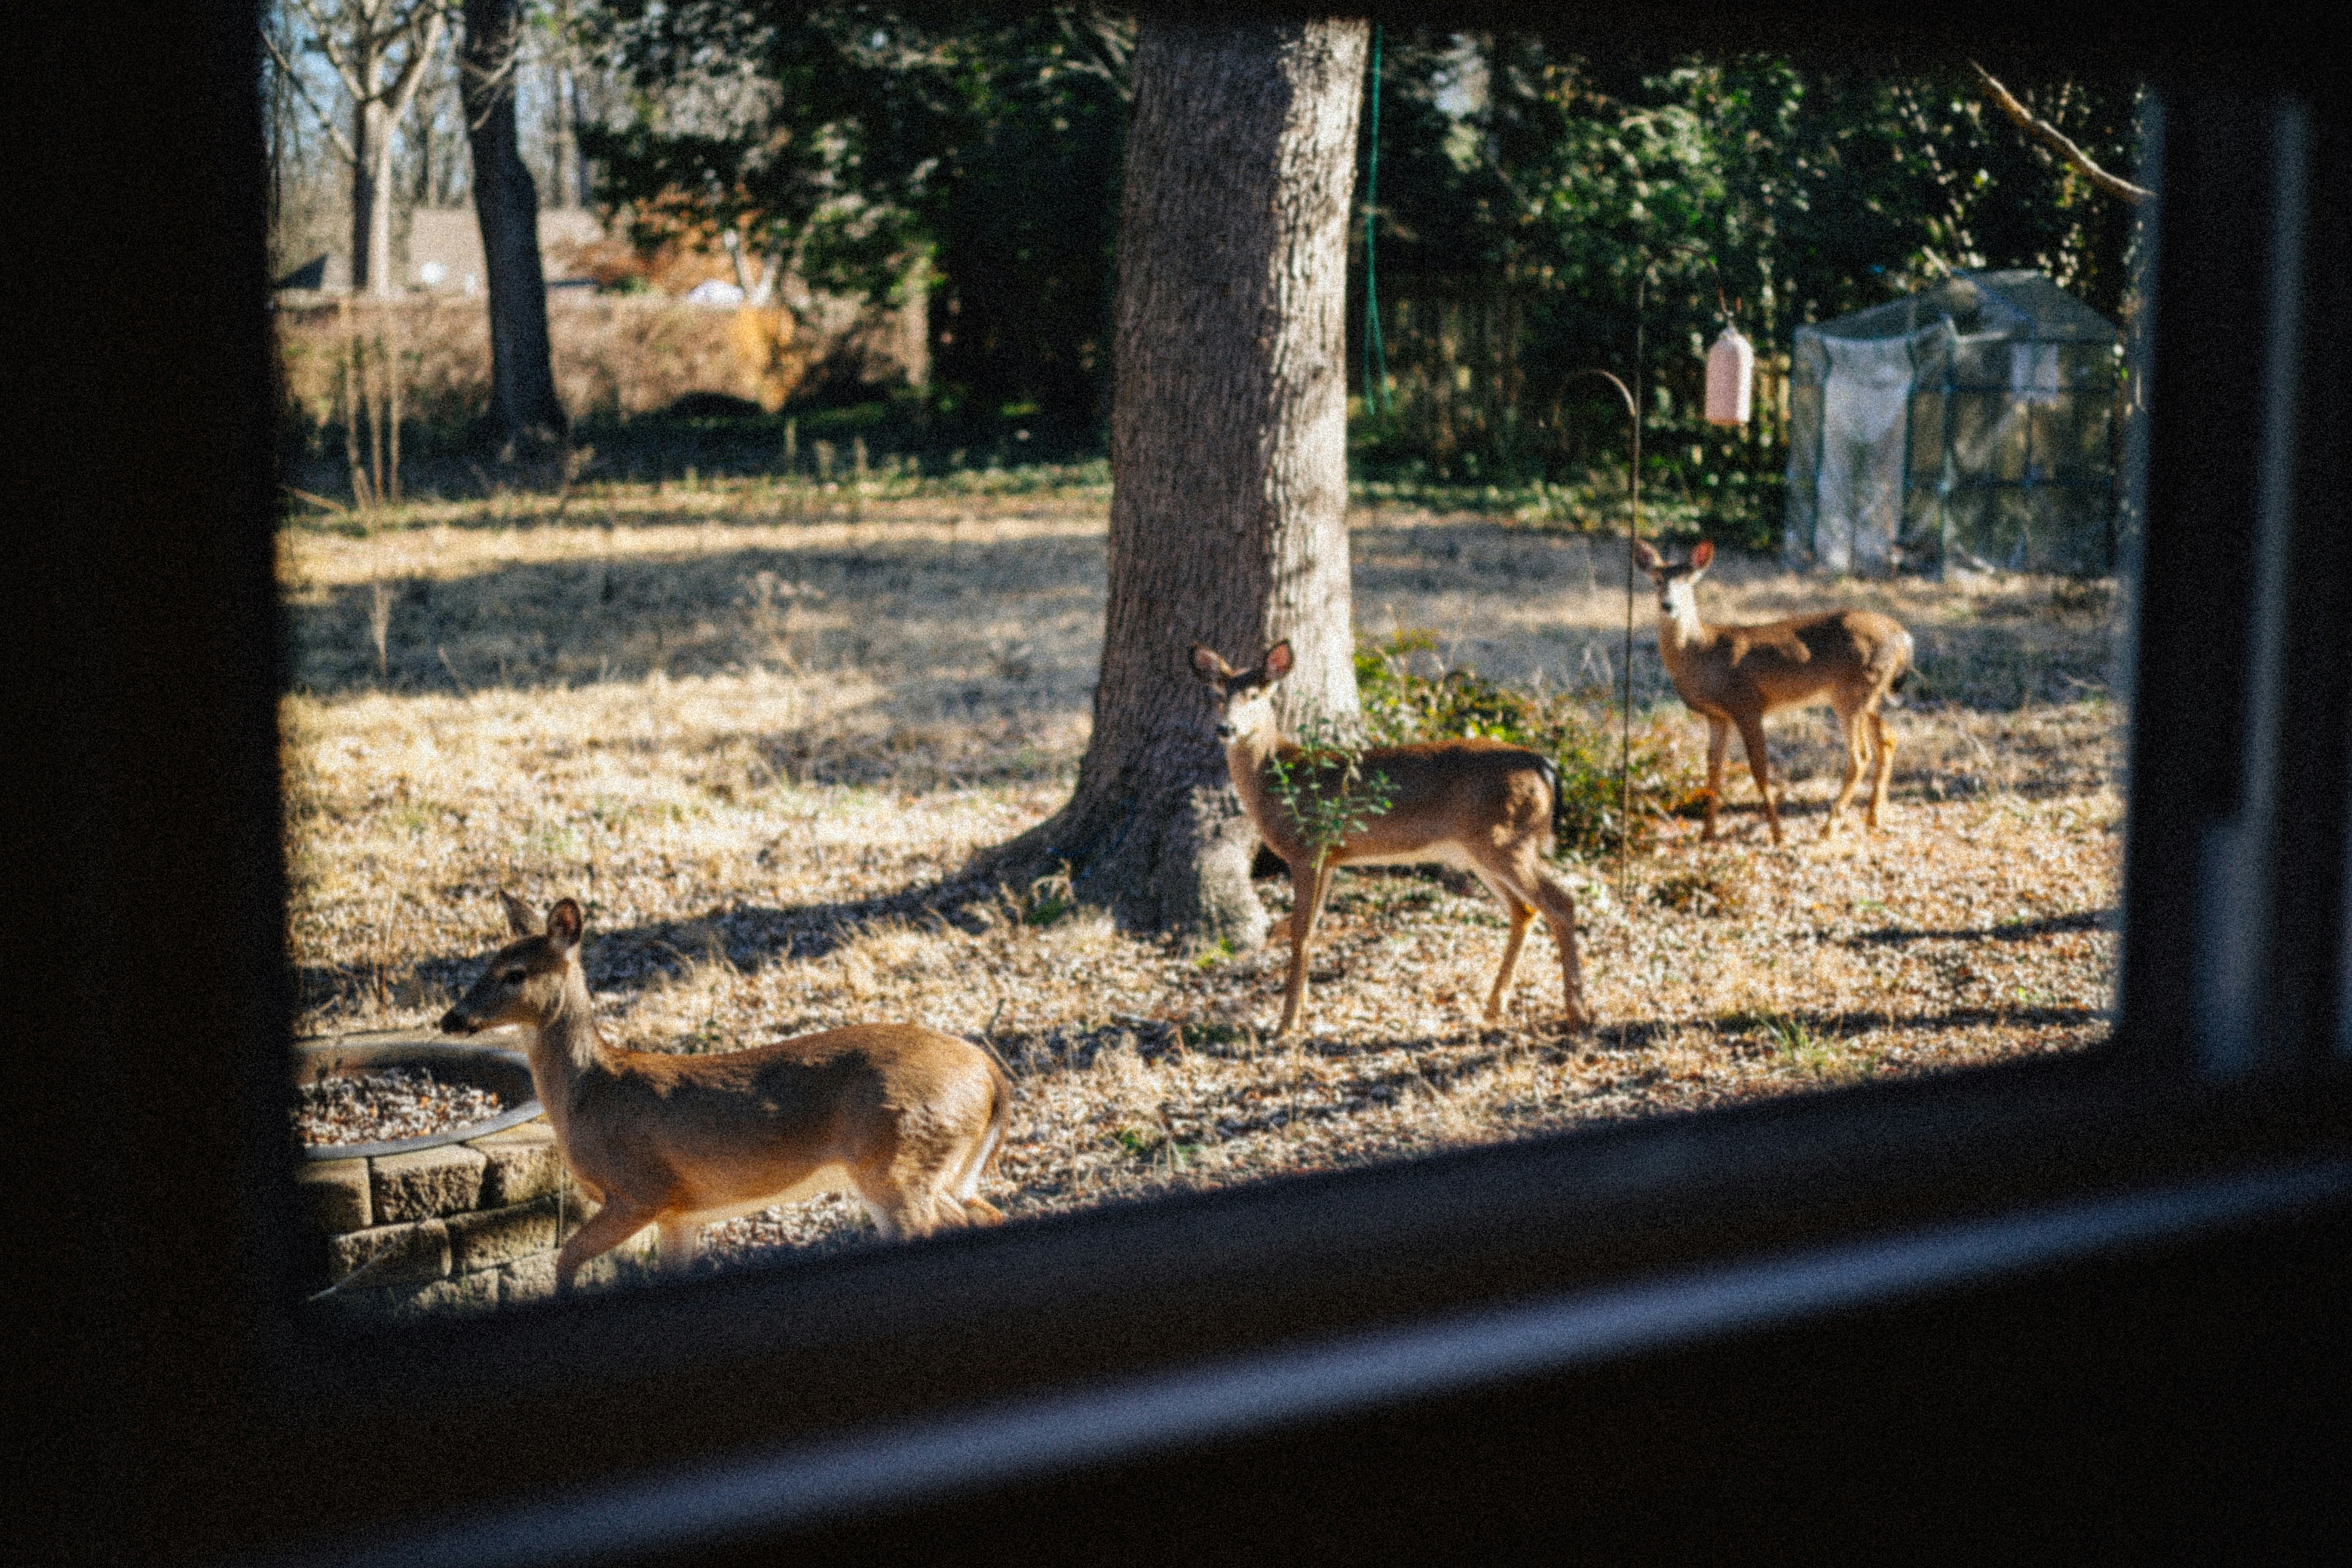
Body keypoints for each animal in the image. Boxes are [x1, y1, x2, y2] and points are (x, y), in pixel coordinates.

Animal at [439, 894, 1011, 1293]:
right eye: (486, 964)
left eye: (515, 974)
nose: (452, 1019)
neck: (589, 1094)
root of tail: (990, 1073)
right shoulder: (679, 1213)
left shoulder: (643, 1190)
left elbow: (565, 1261)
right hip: (922, 1168)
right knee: (987, 1215)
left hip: (898, 1159)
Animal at [1189, 641, 1593, 1039]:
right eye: (1219, 695)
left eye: (1256, 695)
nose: (1226, 728)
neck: (1277, 778)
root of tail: (1546, 768)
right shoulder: (1331, 859)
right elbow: (1311, 932)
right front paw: (1299, 1013)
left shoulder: (1308, 849)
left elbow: (1299, 936)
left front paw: (1286, 1025)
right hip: (1480, 851)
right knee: (1524, 909)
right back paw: (1495, 1008)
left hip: (1507, 839)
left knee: (1561, 902)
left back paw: (1578, 1015)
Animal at [1631, 539, 1914, 846]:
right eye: (1657, 580)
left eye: (1688, 580)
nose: (1668, 605)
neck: (1701, 652)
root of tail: (1903, 636)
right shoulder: (1718, 715)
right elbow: (1714, 769)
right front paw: (1707, 834)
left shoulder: (1747, 704)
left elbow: (1759, 768)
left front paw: (1778, 835)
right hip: (1870, 694)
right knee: (1888, 737)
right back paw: (1874, 818)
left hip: (1853, 691)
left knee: (1860, 756)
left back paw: (1828, 828)